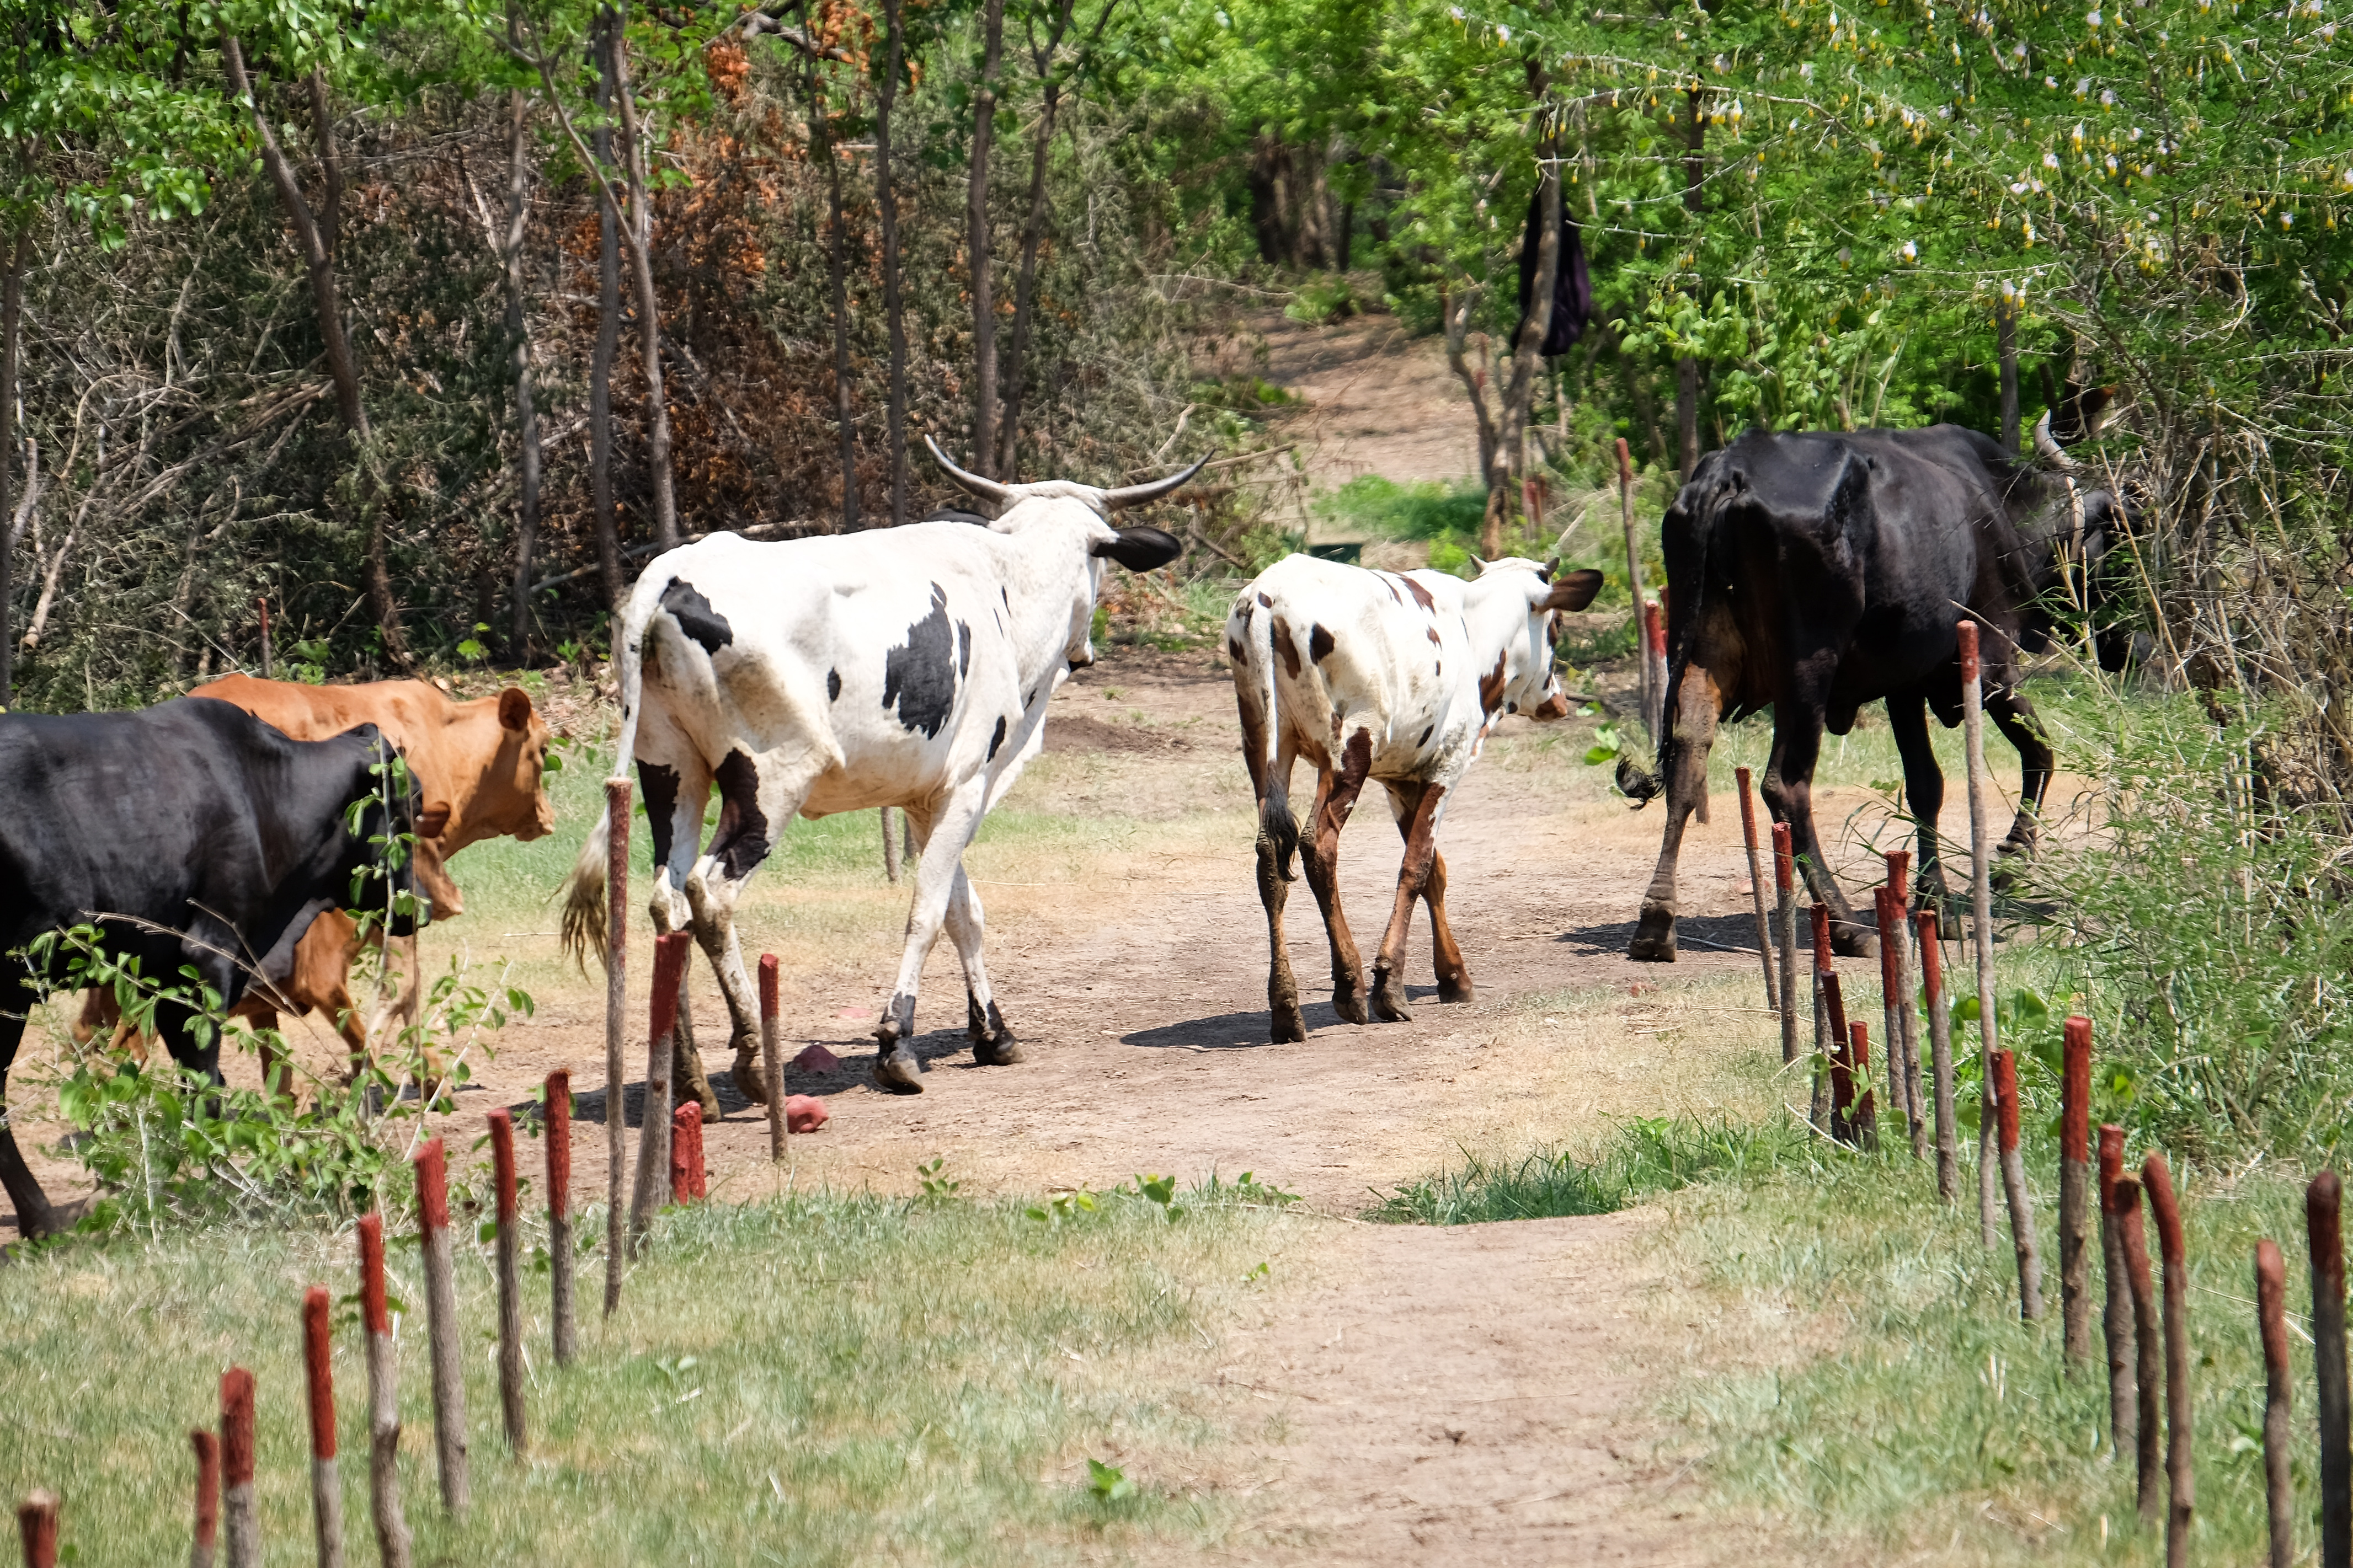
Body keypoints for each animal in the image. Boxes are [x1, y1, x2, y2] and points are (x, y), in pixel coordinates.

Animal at [1, 698, 424, 1237]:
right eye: (410, 804)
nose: (419, 907)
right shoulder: (210, 957)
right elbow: (207, 1086)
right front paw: (230, 1191)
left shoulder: (165, 979)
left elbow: (199, 1083)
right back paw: (43, 1218)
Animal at [559, 439, 1202, 1099]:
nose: (1086, 651)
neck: (1007, 583)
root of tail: (672, 573)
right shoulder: (966, 787)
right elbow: (927, 911)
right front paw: (897, 1042)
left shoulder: (927, 799)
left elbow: (962, 911)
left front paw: (992, 1032)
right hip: (772, 780)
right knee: (709, 894)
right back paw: (752, 1059)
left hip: (671, 773)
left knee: (669, 905)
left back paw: (689, 1078)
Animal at [1231, 554, 1603, 1041]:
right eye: (1556, 625)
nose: (1557, 702)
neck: (1474, 629)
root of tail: (1268, 594)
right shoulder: (1447, 767)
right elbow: (1417, 865)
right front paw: (1390, 984)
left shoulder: (1400, 781)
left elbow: (1434, 873)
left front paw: (1453, 974)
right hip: (1351, 747)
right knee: (1319, 846)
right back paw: (1349, 986)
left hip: (1265, 746)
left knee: (1269, 857)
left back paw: (1285, 1006)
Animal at [1625, 414, 2119, 960]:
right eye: (2123, 535)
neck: (1999, 500)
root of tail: (1732, 470)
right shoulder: (1990, 663)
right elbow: (2040, 751)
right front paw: (2011, 855)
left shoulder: (1905, 681)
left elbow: (1927, 784)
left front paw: (1935, 901)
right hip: (1808, 669)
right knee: (1785, 786)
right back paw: (1845, 923)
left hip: (1701, 654)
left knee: (1687, 760)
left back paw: (1656, 919)